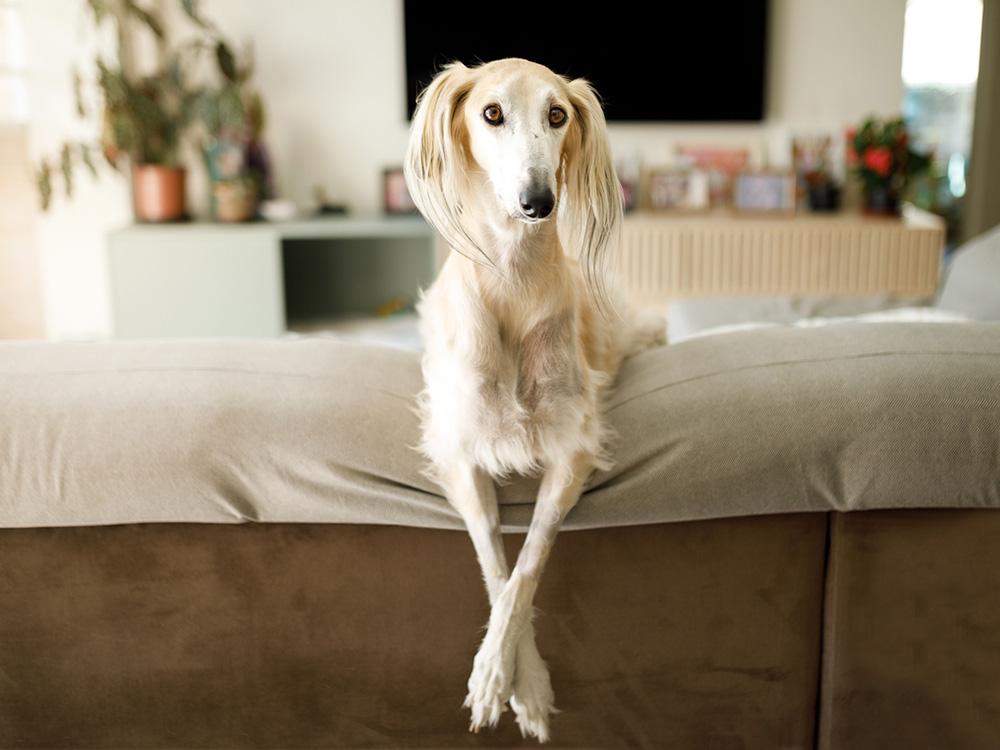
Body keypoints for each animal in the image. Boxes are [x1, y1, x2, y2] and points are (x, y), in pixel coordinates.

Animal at [402, 57, 660, 740]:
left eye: (558, 114)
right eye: (491, 112)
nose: (537, 203)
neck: (514, 281)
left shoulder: (572, 448)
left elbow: (527, 567)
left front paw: (520, 685)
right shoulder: (460, 451)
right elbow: (496, 566)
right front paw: (507, 681)